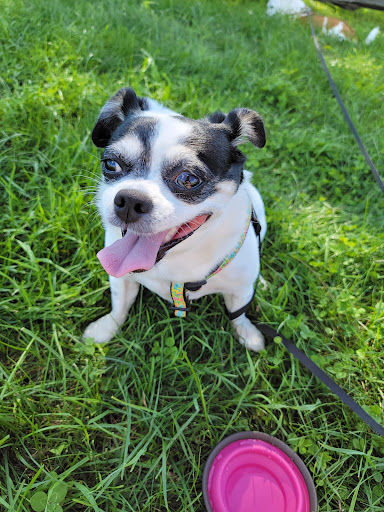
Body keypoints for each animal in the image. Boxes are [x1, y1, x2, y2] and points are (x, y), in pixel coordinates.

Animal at [82, 88, 268, 352]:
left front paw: (248, 334)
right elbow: (119, 306)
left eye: (188, 179)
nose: (130, 199)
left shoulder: (240, 289)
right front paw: (106, 328)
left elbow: (238, 314)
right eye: (110, 164)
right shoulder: (121, 279)